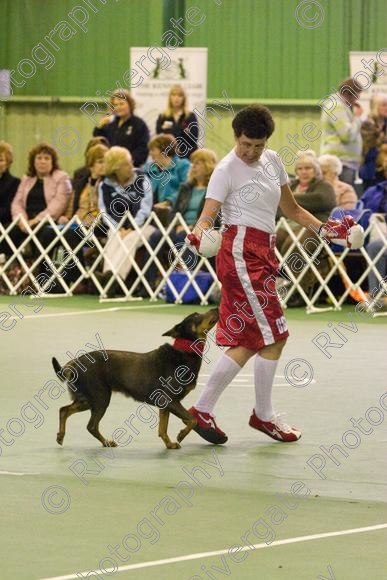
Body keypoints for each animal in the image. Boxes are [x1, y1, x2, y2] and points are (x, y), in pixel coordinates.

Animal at [52, 308, 218, 448]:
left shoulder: (165, 405)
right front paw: (182, 434)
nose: (215, 308)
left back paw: (62, 436)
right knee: (90, 425)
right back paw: (105, 441)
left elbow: (162, 429)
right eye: (196, 317)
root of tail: (74, 363)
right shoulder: (170, 400)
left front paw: (169, 444)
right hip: (100, 398)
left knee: (64, 410)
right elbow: (192, 419)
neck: (185, 351)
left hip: (87, 399)